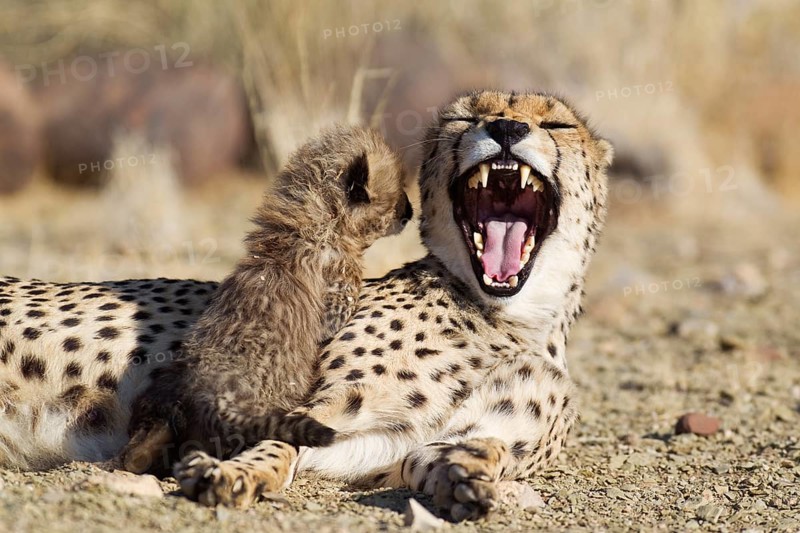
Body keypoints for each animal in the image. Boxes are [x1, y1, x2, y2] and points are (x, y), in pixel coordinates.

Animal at [120, 125, 412, 474]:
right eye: (396, 193)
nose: (410, 211)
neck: (304, 229)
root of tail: (215, 397)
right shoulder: (336, 298)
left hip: (161, 395)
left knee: (139, 447)